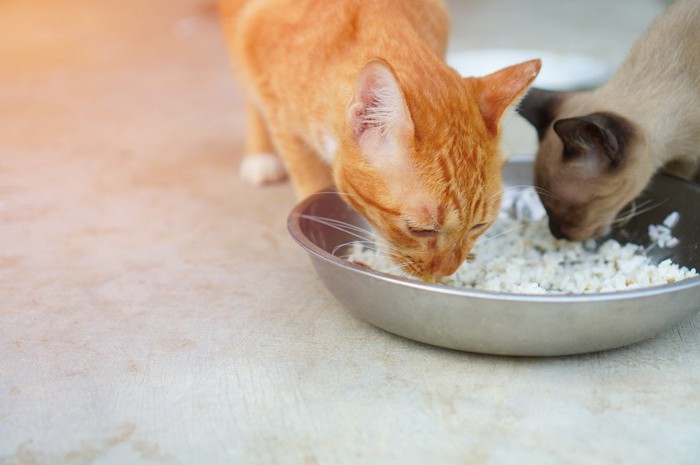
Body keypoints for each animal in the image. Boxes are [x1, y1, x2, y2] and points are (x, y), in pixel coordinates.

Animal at [221, 0, 540, 278]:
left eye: (479, 225)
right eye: (420, 230)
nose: (446, 272)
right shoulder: (283, 122)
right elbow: (309, 180)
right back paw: (260, 156)